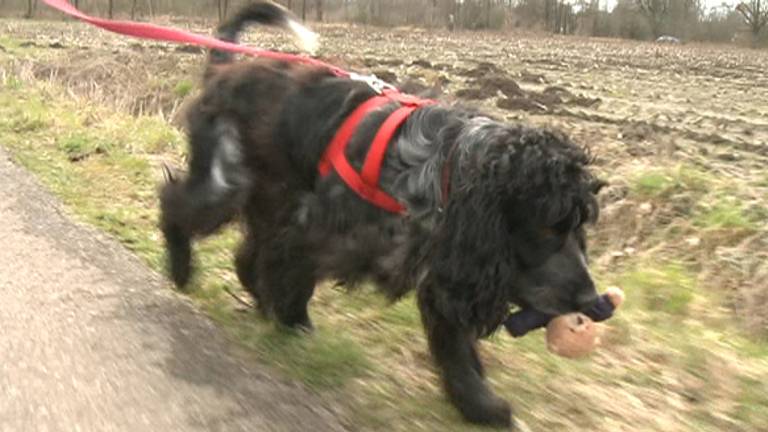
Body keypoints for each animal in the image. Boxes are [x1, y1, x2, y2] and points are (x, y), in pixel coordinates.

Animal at [160, 1, 608, 426]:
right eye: (547, 229)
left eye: (579, 227)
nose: (591, 300)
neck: (445, 172)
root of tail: (225, 69)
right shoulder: (314, 230)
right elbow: (294, 277)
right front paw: (293, 323)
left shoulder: (441, 267)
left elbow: (456, 349)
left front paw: (480, 405)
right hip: (227, 182)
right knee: (175, 203)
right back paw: (181, 269)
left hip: (267, 196)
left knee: (246, 255)